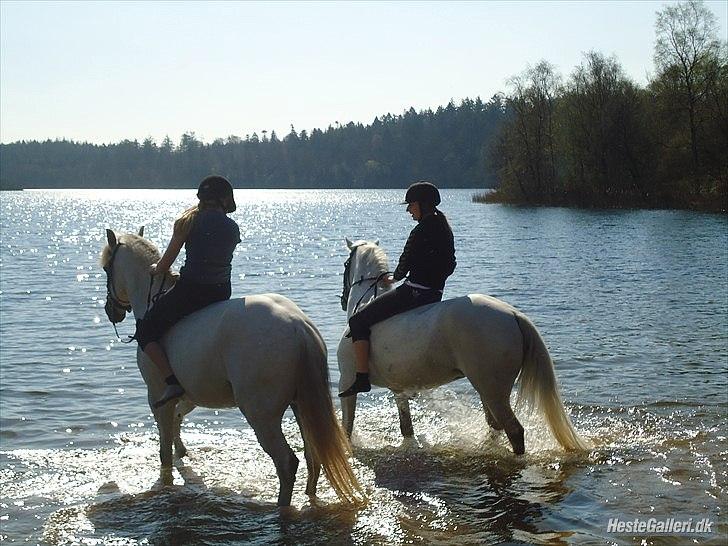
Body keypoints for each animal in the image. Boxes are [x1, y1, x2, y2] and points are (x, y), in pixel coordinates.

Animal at [101, 227, 362, 504]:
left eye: (107, 268)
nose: (111, 311)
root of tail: (297, 325)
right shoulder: (189, 396)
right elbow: (177, 422)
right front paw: (182, 450)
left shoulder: (158, 398)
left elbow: (164, 451)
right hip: (301, 405)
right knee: (313, 455)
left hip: (261, 415)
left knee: (287, 462)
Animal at [338, 236, 588, 452]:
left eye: (346, 264)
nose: (342, 300)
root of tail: (513, 314)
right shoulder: (399, 390)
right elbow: (406, 428)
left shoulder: (347, 382)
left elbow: (347, 427)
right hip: (488, 391)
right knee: (496, 425)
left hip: (492, 390)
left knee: (514, 430)